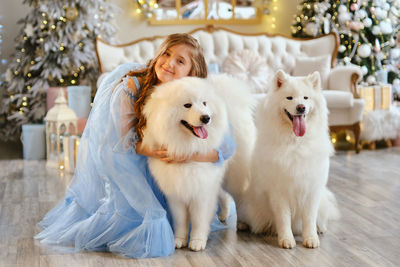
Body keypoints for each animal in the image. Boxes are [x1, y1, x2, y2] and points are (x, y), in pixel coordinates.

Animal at [142, 76, 256, 253]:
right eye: (187, 105)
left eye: (204, 103)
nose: (206, 118)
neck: (188, 147)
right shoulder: (176, 192)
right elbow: (180, 220)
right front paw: (179, 240)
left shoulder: (202, 192)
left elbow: (199, 220)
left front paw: (197, 241)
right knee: (223, 195)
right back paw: (223, 214)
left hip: (234, 177)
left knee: (238, 197)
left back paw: (242, 222)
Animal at [239, 69, 340, 249]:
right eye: (289, 98)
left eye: (306, 98)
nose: (301, 107)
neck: (295, 143)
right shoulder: (279, 192)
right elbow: (283, 218)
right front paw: (286, 239)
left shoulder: (312, 189)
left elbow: (309, 218)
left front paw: (311, 238)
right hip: (251, 206)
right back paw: (243, 225)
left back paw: (320, 228)